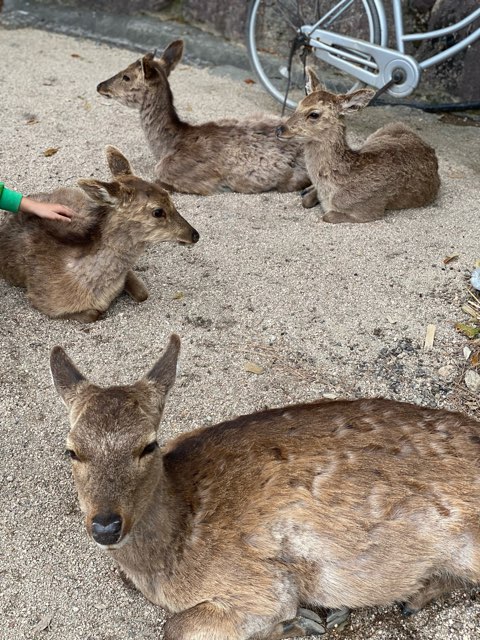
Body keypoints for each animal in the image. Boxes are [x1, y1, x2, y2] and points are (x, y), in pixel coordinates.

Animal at [0, 148, 199, 322]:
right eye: (158, 212)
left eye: (169, 196)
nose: (194, 234)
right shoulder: (41, 299)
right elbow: (93, 314)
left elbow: (143, 293)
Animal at [49, 336, 480, 640]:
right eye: (72, 450)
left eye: (148, 445)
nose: (106, 525)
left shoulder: (264, 585)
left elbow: (175, 627)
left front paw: (298, 623)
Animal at [276, 67, 440, 222]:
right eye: (298, 105)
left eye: (314, 114)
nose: (280, 129)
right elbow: (306, 202)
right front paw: (308, 193)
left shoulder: (370, 209)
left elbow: (327, 216)